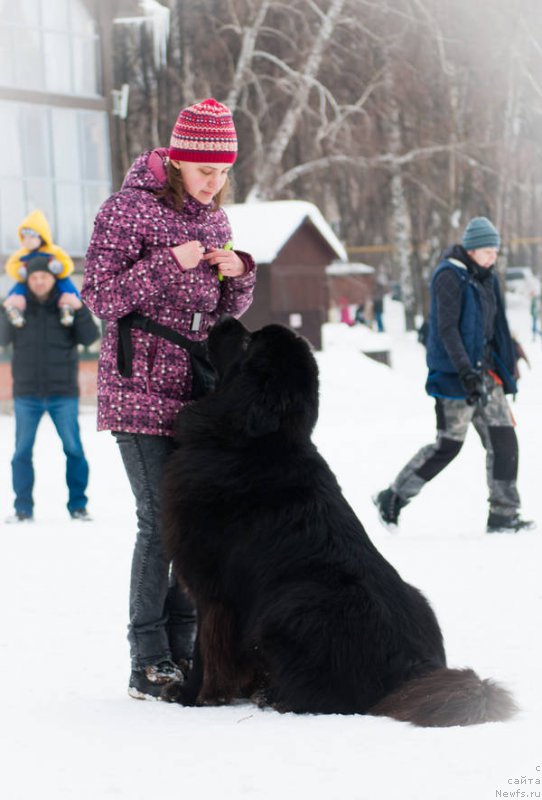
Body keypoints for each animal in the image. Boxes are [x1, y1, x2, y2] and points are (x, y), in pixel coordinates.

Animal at [163, 318, 520, 724]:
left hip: (294, 605)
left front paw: (188, 696)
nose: (224, 319)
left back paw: (274, 697)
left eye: (247, 341)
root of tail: (411, 669)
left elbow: (205, 653)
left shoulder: (213, 594)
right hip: (414, 598)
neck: (252, 443)